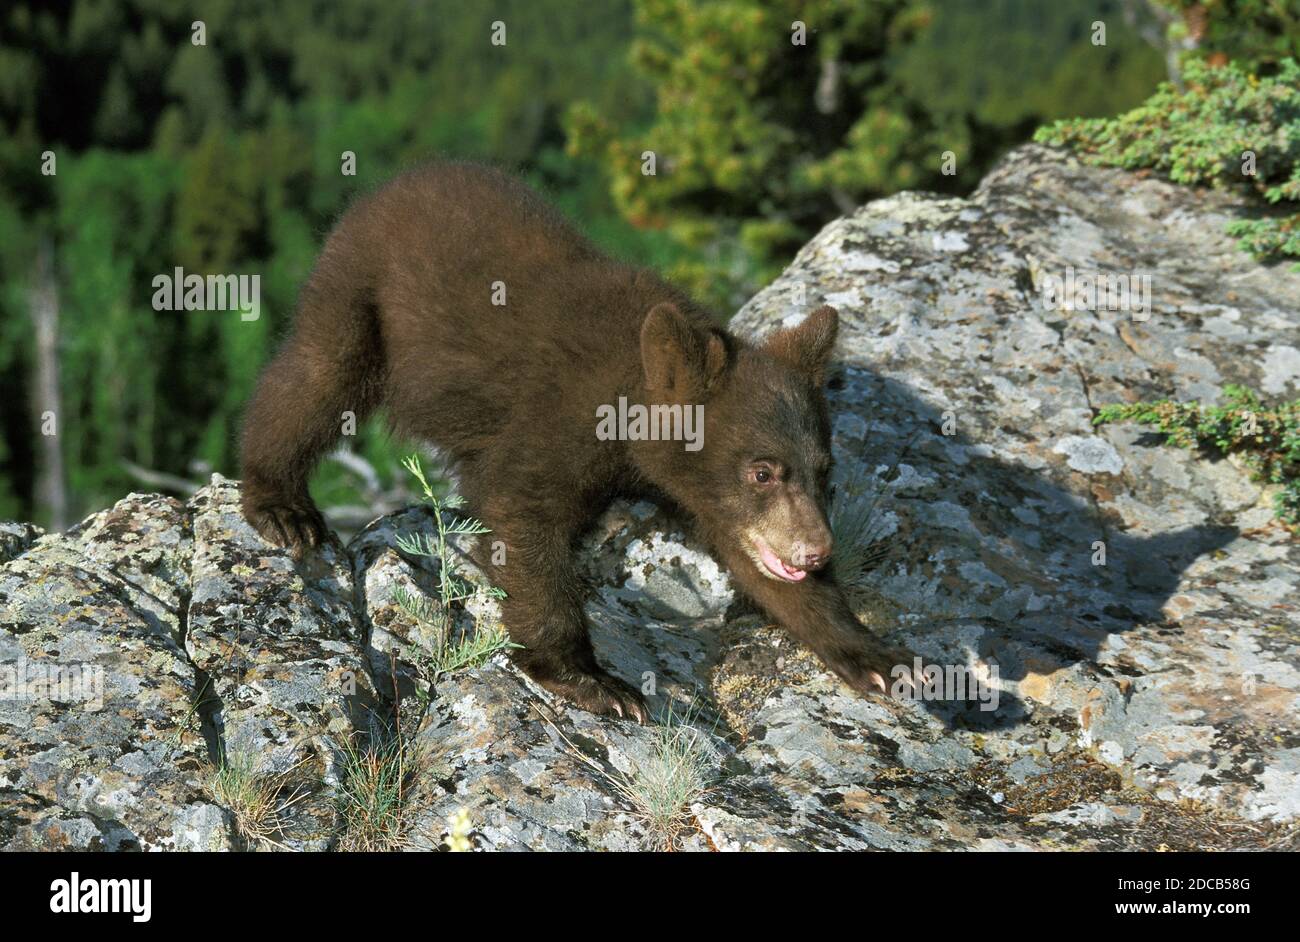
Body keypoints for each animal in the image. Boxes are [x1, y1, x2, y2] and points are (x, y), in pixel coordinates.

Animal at [240, 161, 911, 721]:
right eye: (762, 471)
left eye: (824, 471)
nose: (815, 551)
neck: (632, 391)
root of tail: (398, 179)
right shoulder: (559, 418)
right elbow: (521, 512)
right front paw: (590, 680)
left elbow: (756, 561)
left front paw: (875, 657)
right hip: (359, 289)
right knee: (316, 376)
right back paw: (283, 507)